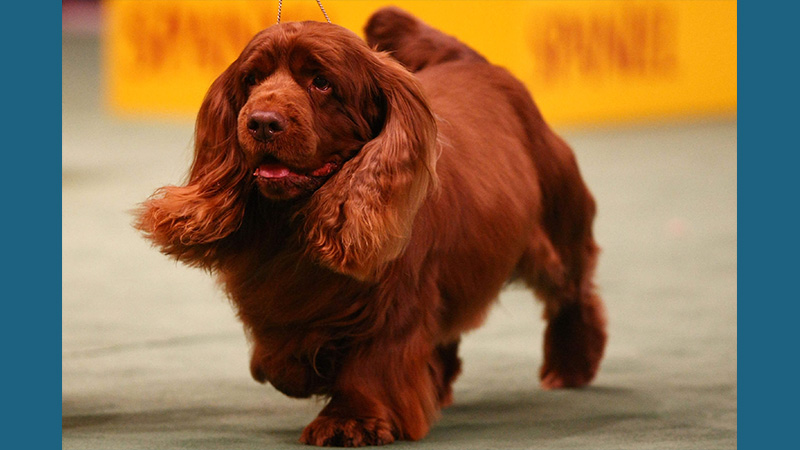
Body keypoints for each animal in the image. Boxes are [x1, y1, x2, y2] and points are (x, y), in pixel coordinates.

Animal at [136, 7, 608, 446]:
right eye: (251, 80)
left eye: (321, 82)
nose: (262, 122)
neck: (299, 217)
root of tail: (476, 62)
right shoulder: (272, 295)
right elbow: (277, 355)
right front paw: (305, 370)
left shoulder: (394, 302)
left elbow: (372, 363)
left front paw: (350, 421)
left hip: (557, 228)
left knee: (574, 292)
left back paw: (570, 365)